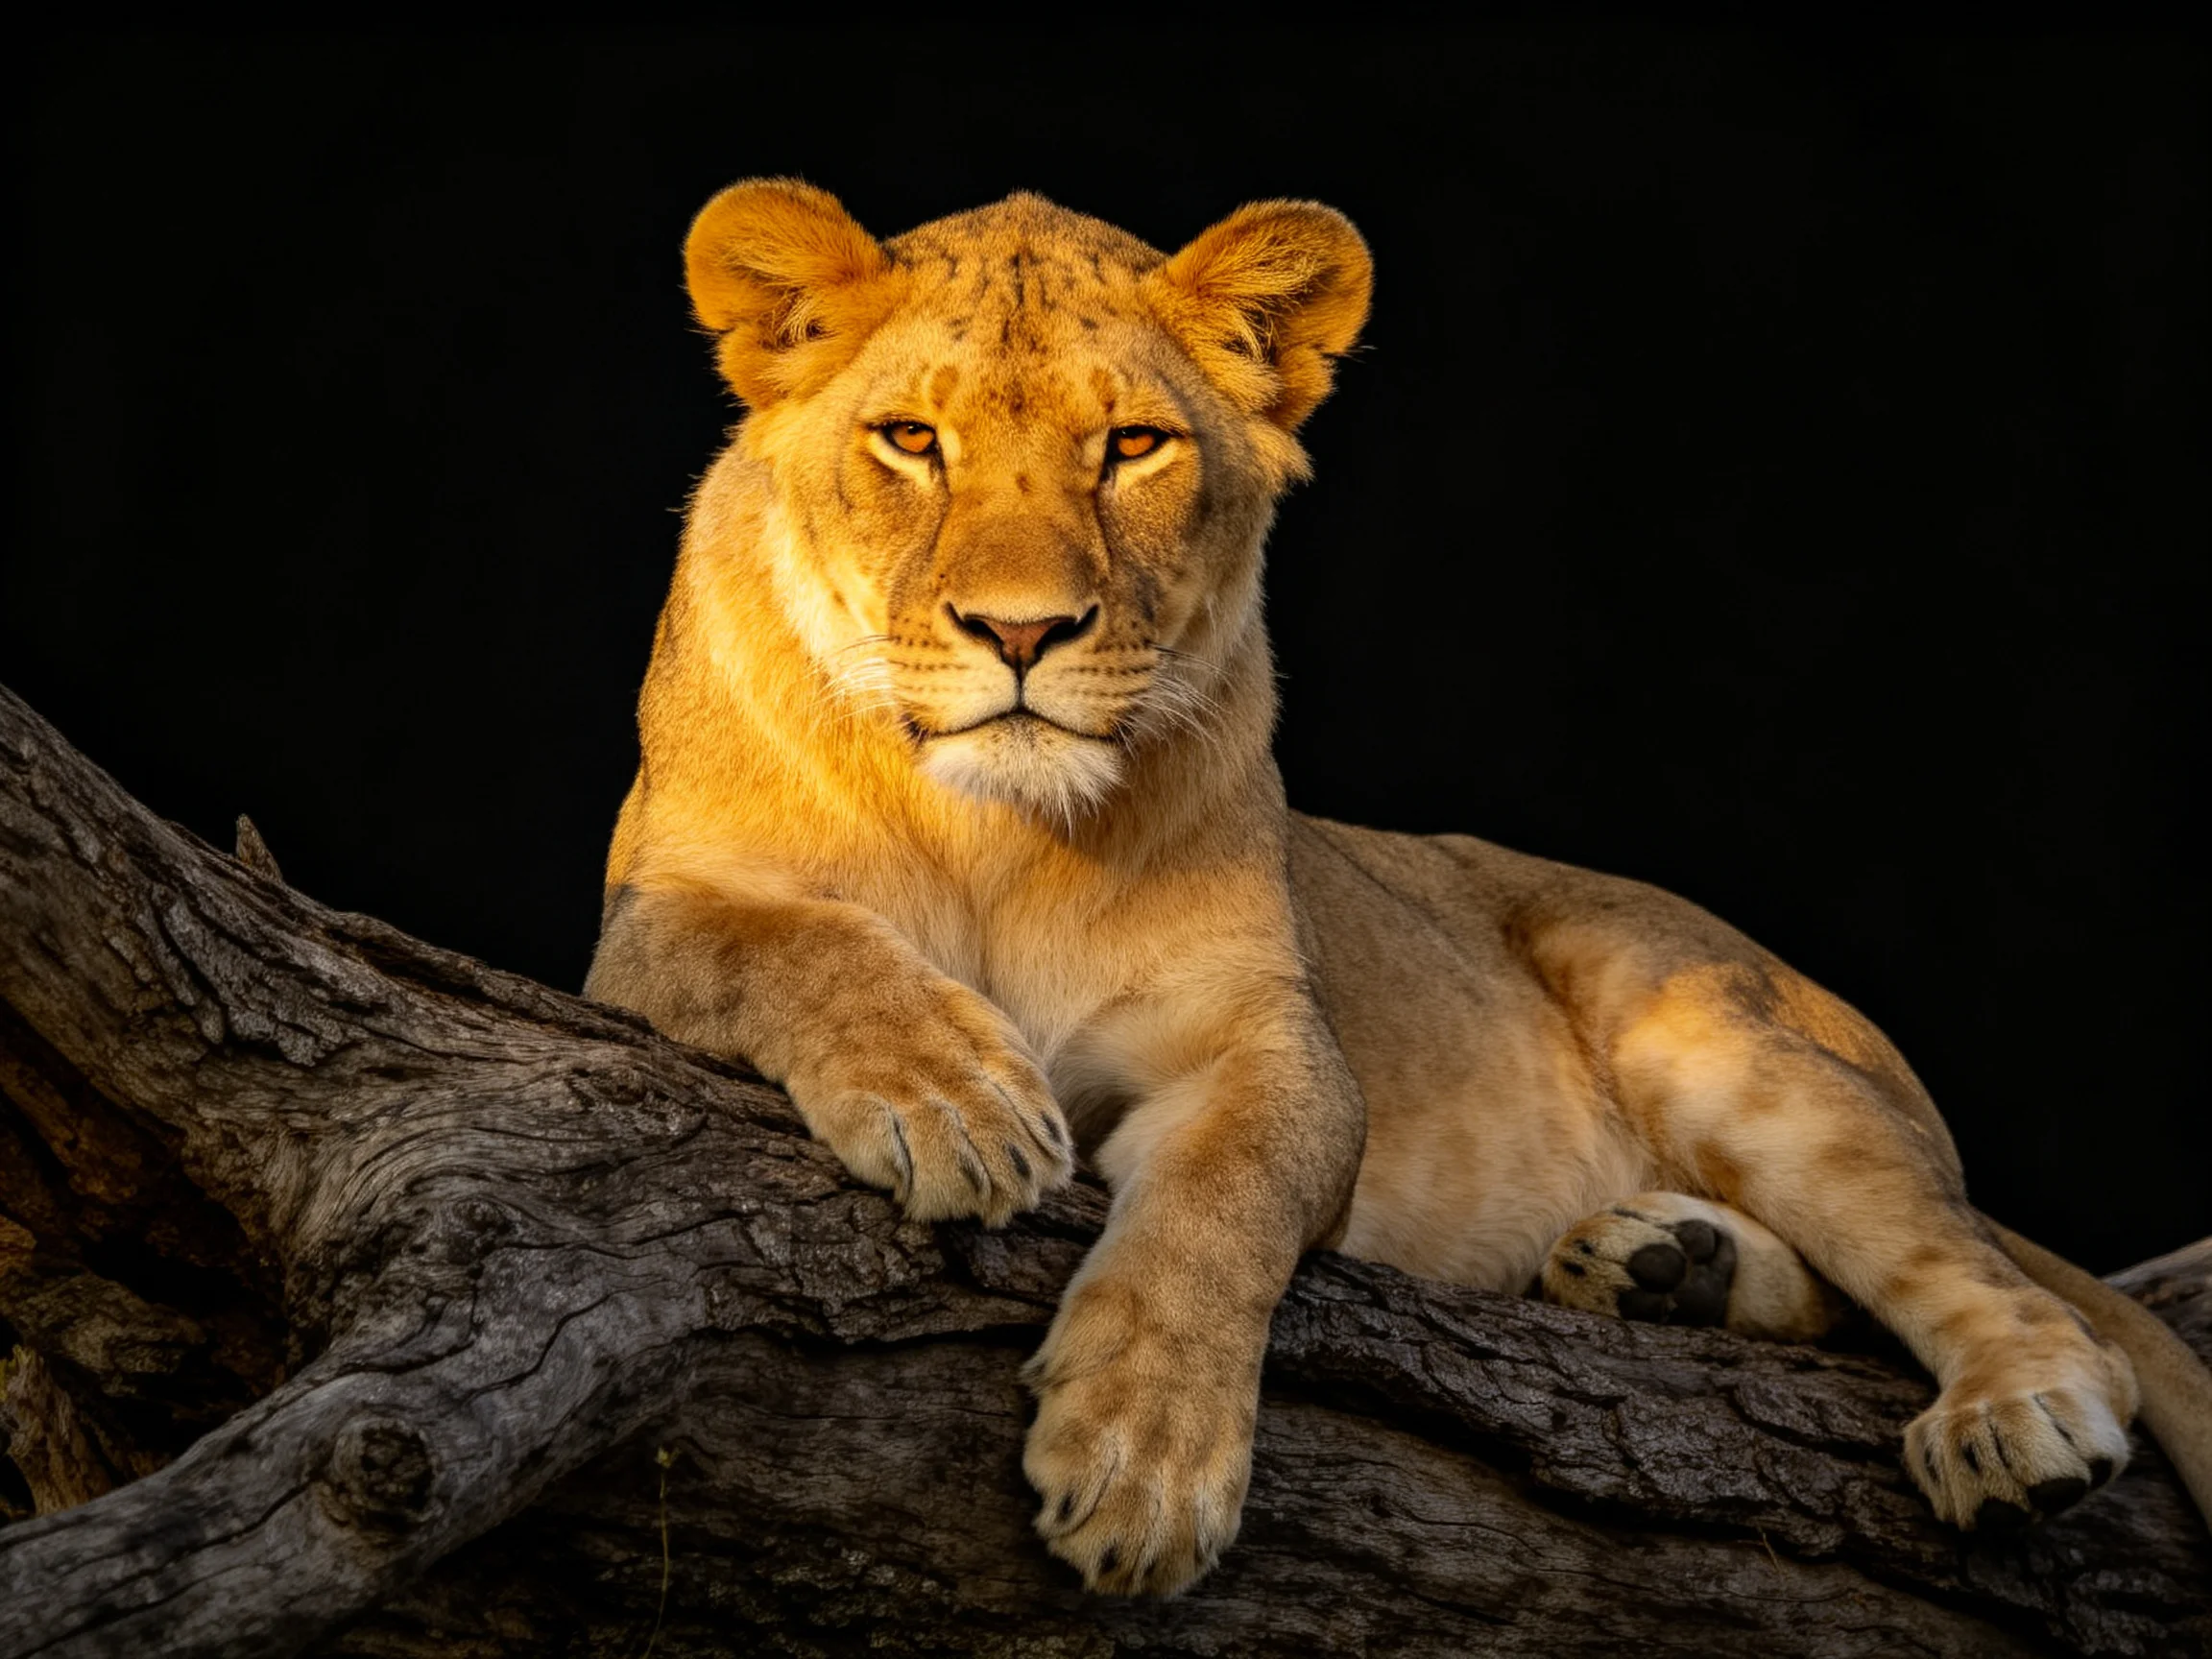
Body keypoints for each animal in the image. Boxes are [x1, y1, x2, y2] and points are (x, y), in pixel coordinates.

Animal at [584, 179, 2212, 1596]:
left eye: (1133, 447)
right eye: (911, 439)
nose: (1023, 632)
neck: (998, 833)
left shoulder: (1269, 1040)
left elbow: (1220, 1207)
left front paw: (1141, 1463)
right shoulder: (640, 933)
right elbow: (783, 940)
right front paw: (958, 1100)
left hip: (1713, 1029)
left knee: (2020, 1302)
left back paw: (2008, 1419)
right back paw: (1666, 1270)